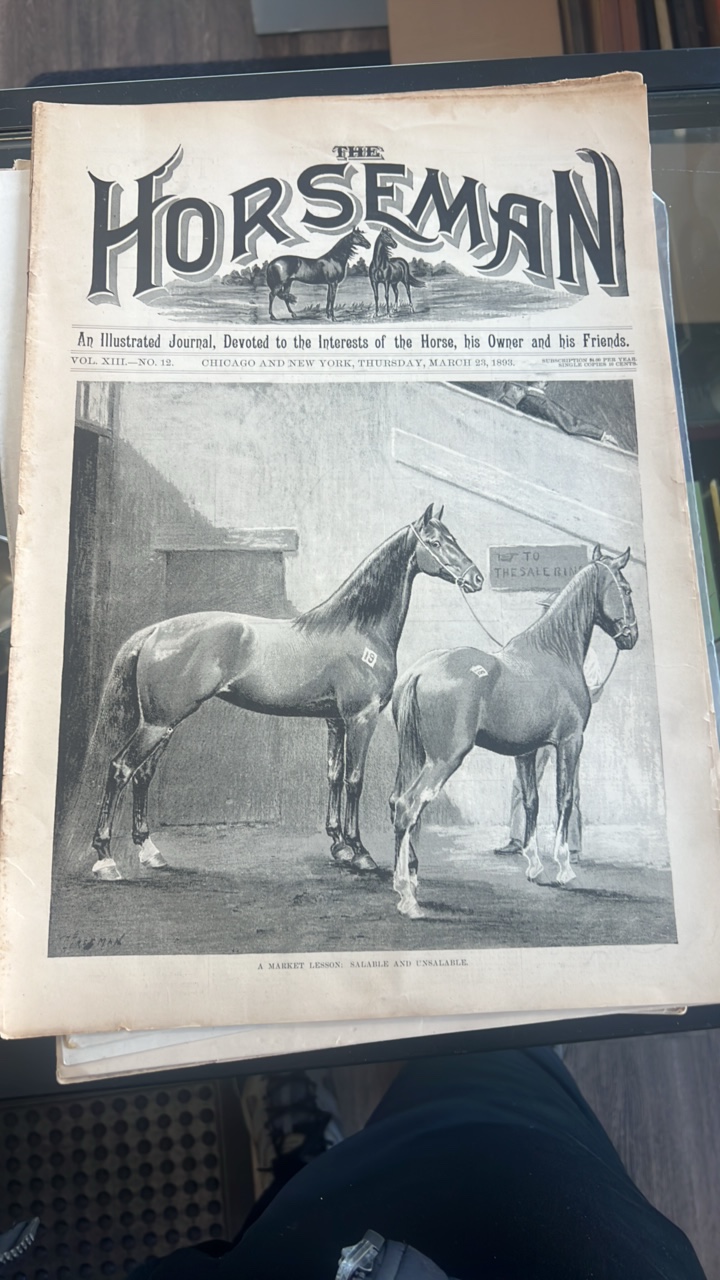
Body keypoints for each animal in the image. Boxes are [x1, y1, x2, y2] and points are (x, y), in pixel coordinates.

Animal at [86, 504, 483, 882]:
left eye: (453, 538)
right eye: (435, 542)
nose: (476, 578)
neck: (359, 630)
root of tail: (154, 631)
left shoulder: (335, 721)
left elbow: (333, 776)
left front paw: (339, 845)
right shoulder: (361, 718)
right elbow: (355, 781)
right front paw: (360, 852)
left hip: (164, 724)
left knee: (143, 775)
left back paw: (150, 851)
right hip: (157, 724)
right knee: (121, 768)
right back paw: (106, 859)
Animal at [390, 546, 638, 918]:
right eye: (626, 589)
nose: (631, 637)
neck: (554, 654)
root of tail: (420, 671)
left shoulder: (526, 751)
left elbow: (531, 801)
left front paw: (534, 866)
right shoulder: (570, 743)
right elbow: (563, 798)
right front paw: (564, 868)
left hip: (415, 756)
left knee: (398, 804)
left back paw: (407, 881)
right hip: (443, 760)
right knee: (408, 805)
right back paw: (408, 896)